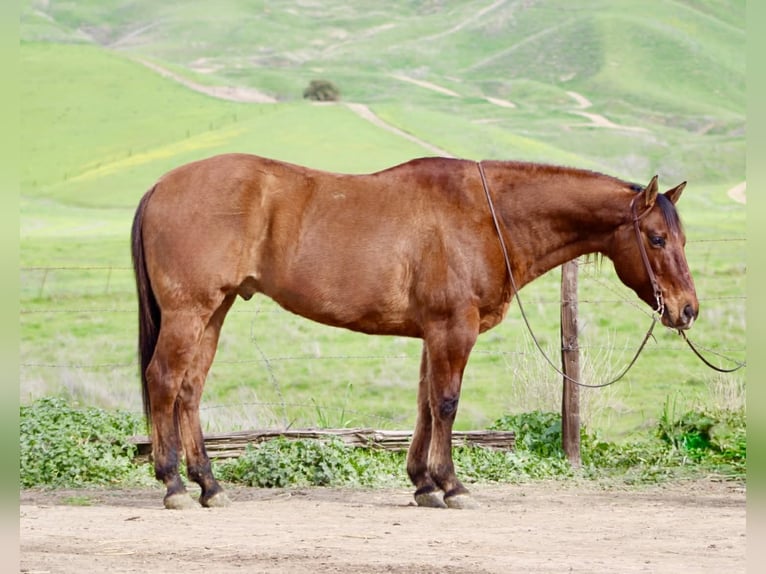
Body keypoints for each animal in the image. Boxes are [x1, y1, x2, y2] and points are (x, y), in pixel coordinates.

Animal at [131, 153, 698, 510]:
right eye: (656, 237)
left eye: (681, 237)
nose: (687, 309)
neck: (485, 217)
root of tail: (160, 186)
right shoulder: (453, 329)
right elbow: (446, 403)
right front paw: (452, 485)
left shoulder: (434, 333)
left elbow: (426, 403)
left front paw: (423, 484)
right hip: (189, 312)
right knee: (164, 382)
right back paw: (174, 484)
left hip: (214, 311)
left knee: (189, 390)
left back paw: (209, 485)